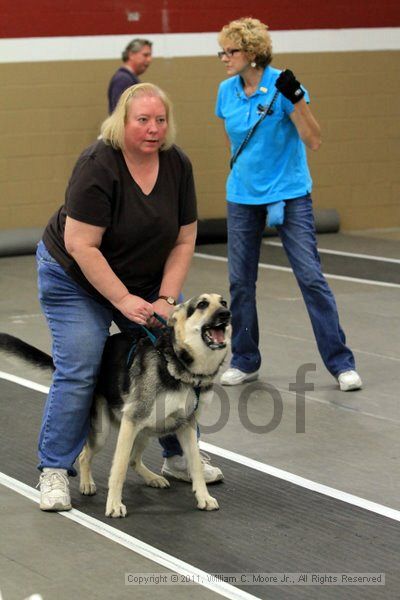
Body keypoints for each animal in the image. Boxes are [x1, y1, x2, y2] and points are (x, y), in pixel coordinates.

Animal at [0, 294, 231, 516]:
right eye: (202, 304)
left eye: (224, 302)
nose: (226, 314)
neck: (178, 364)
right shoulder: (131, 424)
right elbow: (118, 471)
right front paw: (114, 505)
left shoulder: (186, 427)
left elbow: (196, 467)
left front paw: (204, 498)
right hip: (105, 433)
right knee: (85, 456)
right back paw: (87, 483)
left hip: (146, 431)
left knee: (133, 460)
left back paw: (152, 478)